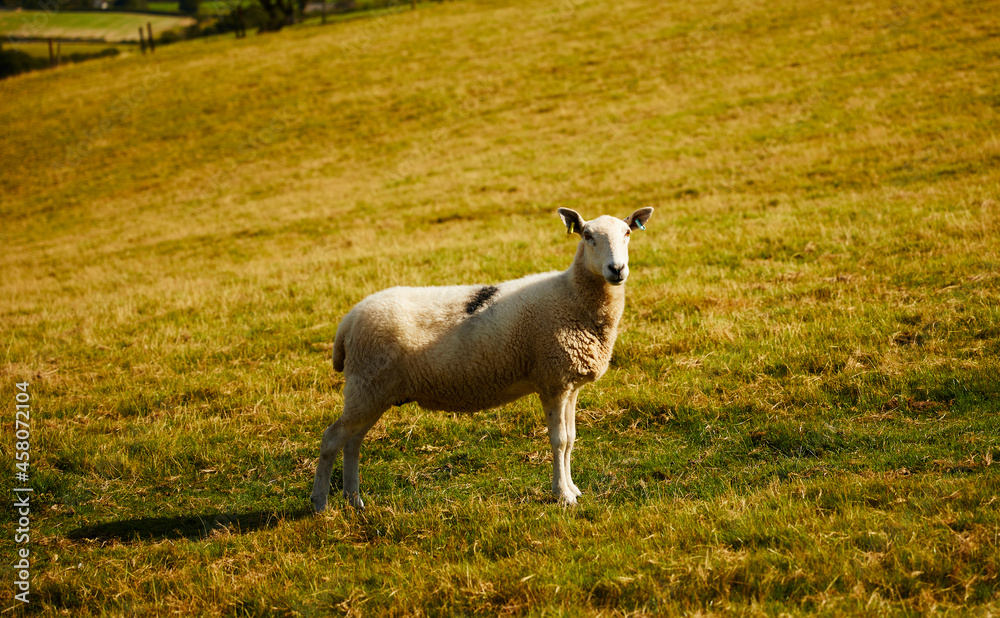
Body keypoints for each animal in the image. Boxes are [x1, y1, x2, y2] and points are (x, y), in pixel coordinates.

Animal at [310, 207, 654, 512]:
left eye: (627, 233)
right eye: (587, 235)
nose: (616, 270)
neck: (572, 297)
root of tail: (348, 321)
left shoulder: (569, 384)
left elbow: (570, 439)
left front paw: (572, 489)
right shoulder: (553, 381)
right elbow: (558, 441)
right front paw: (562, 496)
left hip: (372, 390)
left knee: (352, 442)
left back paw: (354, 501)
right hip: (366, 385)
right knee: (332, 439)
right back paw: (320, 504)